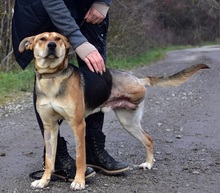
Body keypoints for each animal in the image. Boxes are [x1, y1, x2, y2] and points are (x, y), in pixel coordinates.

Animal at [18, 31, 208, 190]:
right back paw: (148, 163)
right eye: (42, 39)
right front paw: (43, 181)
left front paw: (79, 181)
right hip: (128, 122)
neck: (53, 77)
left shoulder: (78, 125)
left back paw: (148, 164)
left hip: (129, 118)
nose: (51, 45)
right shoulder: (50, 127)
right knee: (148, 139)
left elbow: (80, 158)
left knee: (148, 138)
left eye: (58, 38)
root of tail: (138, 79)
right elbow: (50, 159)